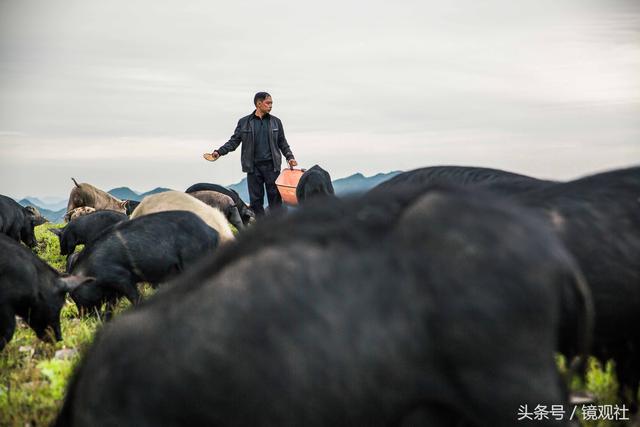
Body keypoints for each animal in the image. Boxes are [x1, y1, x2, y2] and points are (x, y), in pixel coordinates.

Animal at [66, 212, 219, 320]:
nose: (83, 318)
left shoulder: (122, 278)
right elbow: (111, 305)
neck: (92, 271)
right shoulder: (114, 289)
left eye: (77, 296)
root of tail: (213, 232)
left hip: (193, 260)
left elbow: (135, 297)